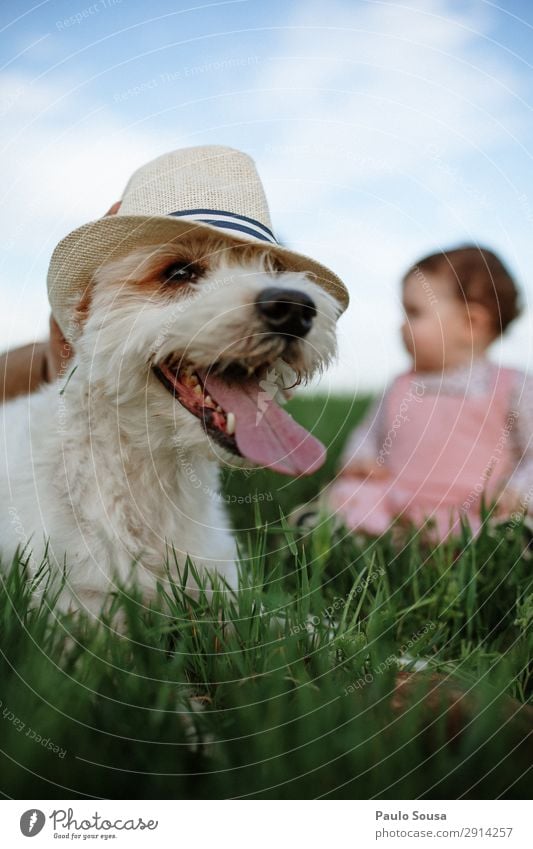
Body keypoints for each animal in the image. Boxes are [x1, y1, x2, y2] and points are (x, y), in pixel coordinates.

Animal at [0, 146, 348, 620]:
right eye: (179, 272)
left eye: (275, 267)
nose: (295, 308)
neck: (155, 476)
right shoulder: (74, 607)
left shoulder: (224, 591)